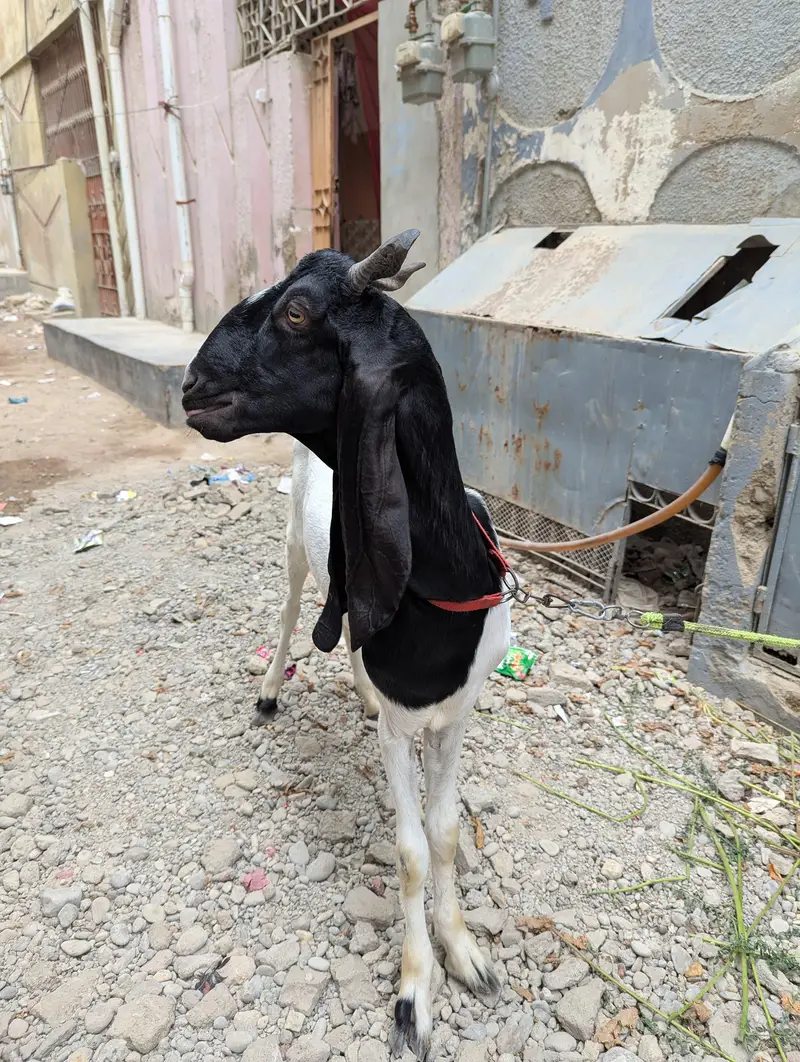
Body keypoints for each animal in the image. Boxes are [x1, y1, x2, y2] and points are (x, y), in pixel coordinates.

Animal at [182, 231, 512, 1060]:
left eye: (297, 312)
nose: (191, 384)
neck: (445, 587)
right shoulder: (402, 731)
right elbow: (412, 850)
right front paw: (415, 992)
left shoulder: (455, 718)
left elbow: (446, 834)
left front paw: (465, 952)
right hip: (297, 554)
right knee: (289, 612)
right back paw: (271, 690)